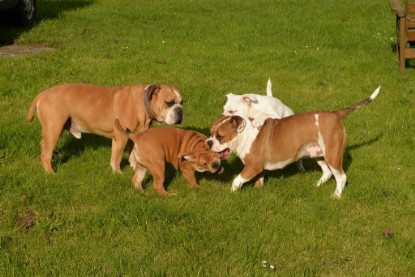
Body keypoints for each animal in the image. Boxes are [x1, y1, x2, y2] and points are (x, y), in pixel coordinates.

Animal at [26, 82, 182, 172]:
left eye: (182, 102)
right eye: (169, 103)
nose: (180, 110)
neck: (143, 103)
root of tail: (42, 94)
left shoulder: (134, 135)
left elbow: (133, 152)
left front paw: (135, 167)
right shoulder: (120, 138)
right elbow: (117, 157)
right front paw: (117, 172)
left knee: (44, 146)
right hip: (54, 128)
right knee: (45, 153)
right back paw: (50, 172)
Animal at [206, 86, 382, 198]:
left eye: (220, 137)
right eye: (211, 133)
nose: (208, 142)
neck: (246, 133)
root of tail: (335, 114)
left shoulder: (252, 166)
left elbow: (236, 180)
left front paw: (232, 192)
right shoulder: (258, 167)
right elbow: (259, 179)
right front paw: (258, 189)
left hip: (332, 155)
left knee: (341, 177)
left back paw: (336, 196)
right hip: (318, 154)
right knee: (327, 173)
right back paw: (317, 185)